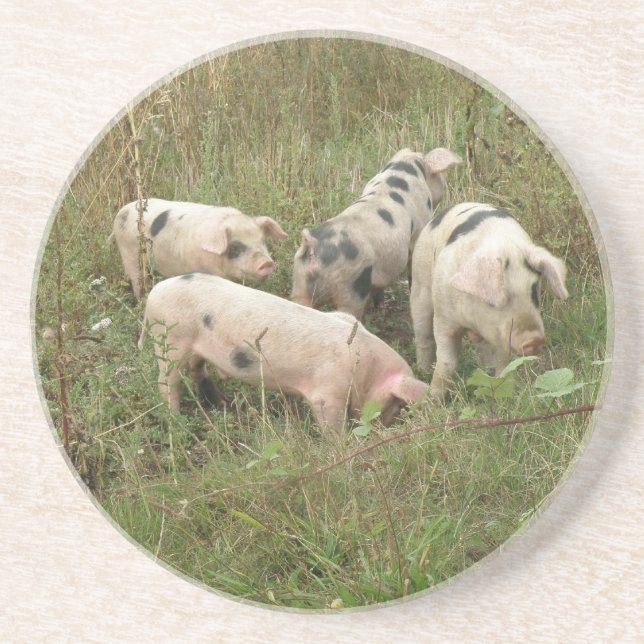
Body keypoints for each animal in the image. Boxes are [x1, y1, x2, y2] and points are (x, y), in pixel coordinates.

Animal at [110, 198, 288, 299]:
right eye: (235, 246)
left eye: (263, 241)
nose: (266, 263)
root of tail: (122, 210)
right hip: (128, 252)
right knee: (137, 279)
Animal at [138, 272, 429, 434]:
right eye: (397, 404)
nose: (382, 429)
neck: (366, 369)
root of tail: (154, 293)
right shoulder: (327, 393)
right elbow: (331, 424)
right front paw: (341, 444)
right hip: (170, 341)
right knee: (167, 382)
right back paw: (176, 420)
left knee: (197, 370)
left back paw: (221, 404)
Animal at [291, 147, 462, 319]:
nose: (446, 182)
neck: (405, 168)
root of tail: (313, 245)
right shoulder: (420, 226)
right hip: (351, 285)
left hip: (300, 282)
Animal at [410, 202, 569, 400]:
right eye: (494, 300)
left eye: (534, 291)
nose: (534, 339)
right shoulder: (444, 318)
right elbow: (446, 362)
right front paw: (433, 400)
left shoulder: (500, 334)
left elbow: (503, 365)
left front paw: (503, 396)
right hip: (420, 282)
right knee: (423, 334)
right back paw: (422, 370)